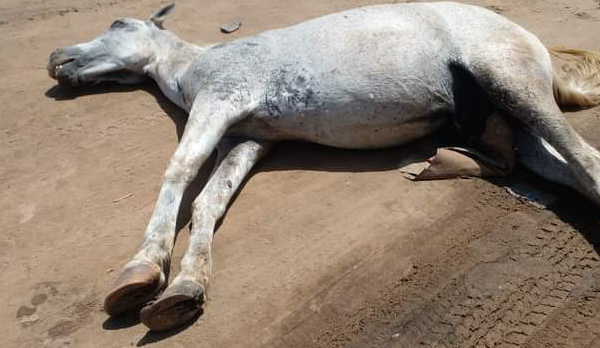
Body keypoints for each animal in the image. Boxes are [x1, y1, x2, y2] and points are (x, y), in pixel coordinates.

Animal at [45, 1, 600, 330]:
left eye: (118, 24)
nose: (57, 59)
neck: (194, 65)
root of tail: (530, 39)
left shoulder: (221, 101)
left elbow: (180, 170)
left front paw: (141, 270)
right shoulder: (247, 139)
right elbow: (208, 203)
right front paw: (185, 286)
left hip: (512, 84)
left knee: (586, 161)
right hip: (504, 119)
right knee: (545, 165)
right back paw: (444, 161)